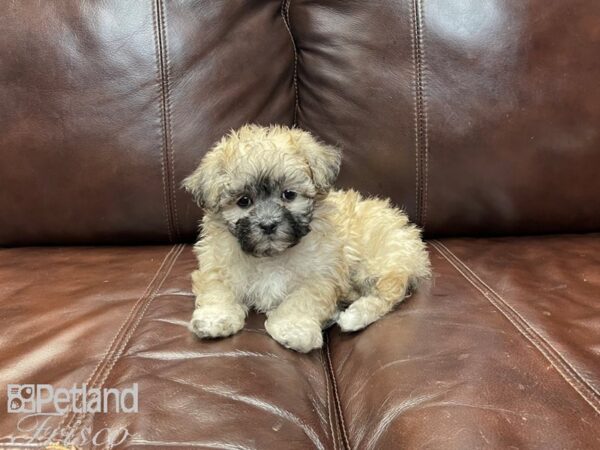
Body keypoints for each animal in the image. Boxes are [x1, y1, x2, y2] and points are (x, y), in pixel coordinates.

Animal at [184, 125, 432, 354]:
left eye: (289, 195)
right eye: (243, 201)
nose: (268, 225)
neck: (271, 256)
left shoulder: (319, 276)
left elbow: (301, 301)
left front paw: (293, 330)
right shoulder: (218, 265)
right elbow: (218, 291)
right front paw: (215, 318)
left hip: (378, 261)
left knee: (389, 291)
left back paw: (354, 316)